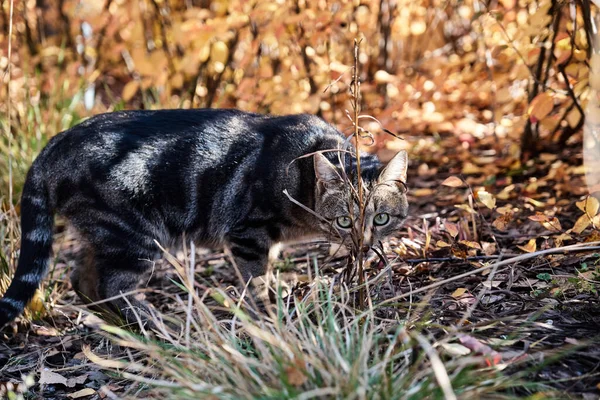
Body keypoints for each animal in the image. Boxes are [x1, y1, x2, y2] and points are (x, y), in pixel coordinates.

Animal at [0, 108, 408, 326]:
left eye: (382, 219)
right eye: (344, 221)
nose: (364, 243)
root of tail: (54, 143)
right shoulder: (248, 234)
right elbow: (254, 282)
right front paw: (266, 315)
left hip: (105, 233)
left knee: (82, 279)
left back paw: (119, 324)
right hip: (133, 237)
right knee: (111, 284)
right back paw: (152, 321)